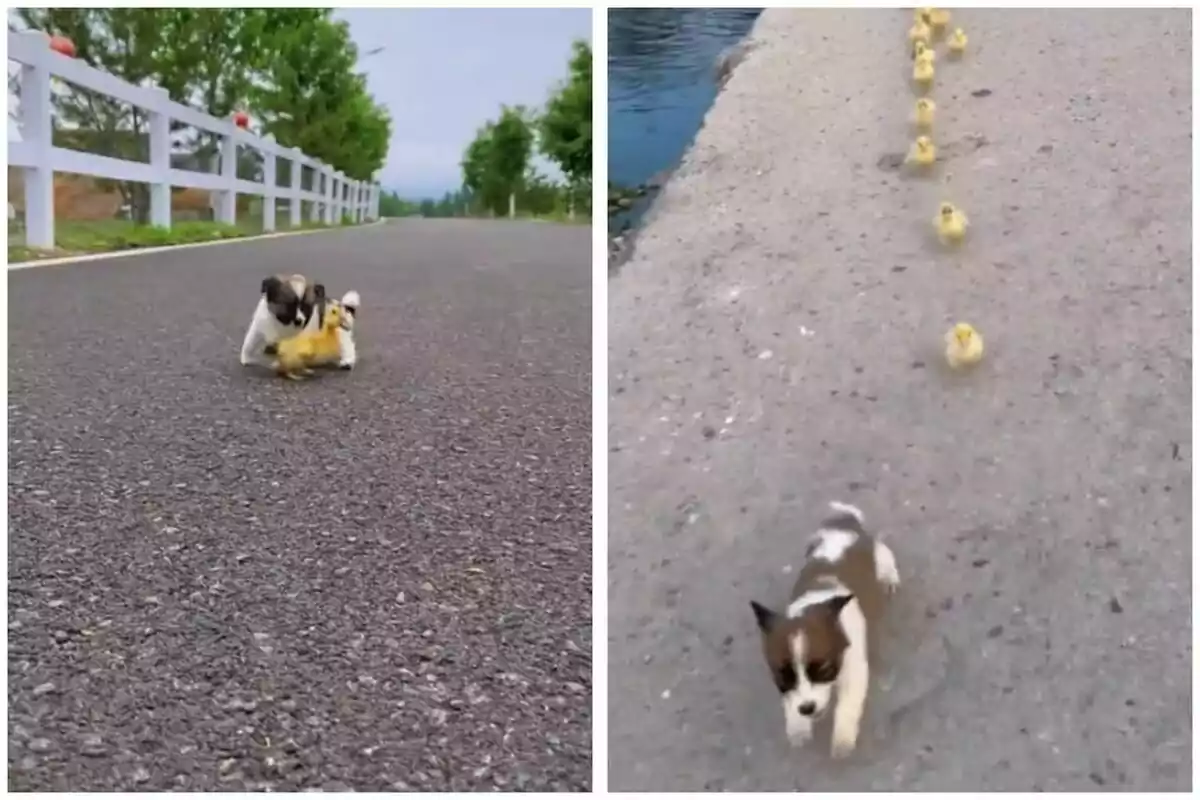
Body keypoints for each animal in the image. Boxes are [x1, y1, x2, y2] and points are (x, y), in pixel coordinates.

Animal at [748, 503, 902, 762]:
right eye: (783, 677)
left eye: (823, 669)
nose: (807, 708)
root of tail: (844, 524)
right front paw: (798, 726)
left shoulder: (854, 672)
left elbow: (847, 706)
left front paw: (842, 739)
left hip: (881, 558)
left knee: (886, 562)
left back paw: (890, 579)